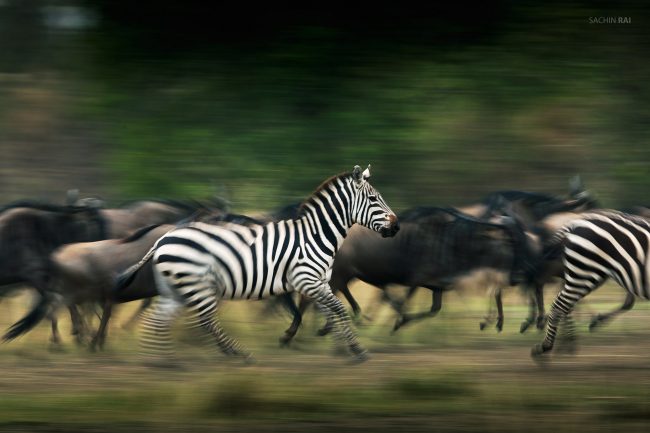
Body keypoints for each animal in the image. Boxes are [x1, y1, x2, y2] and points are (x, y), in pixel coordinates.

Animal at [116, 165, 400, 364]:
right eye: (374, 199)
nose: (396, 227)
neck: (315, 235)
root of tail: (164, 237)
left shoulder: (318, 283)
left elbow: (331, 311)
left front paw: (342, 345)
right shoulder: (306, 280)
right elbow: (337, 309)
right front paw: (355, 349)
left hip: (175, 288)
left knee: (158, 320)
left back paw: (161, 362)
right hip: (195, 284)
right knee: (205, 321)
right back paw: (237, 355)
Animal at [531, 210, 650, 358]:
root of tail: (576, 223)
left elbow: (628, 301)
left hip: (587, 274)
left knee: (560, 300)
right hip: (583, 272)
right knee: (557, 302)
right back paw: (546, 344)